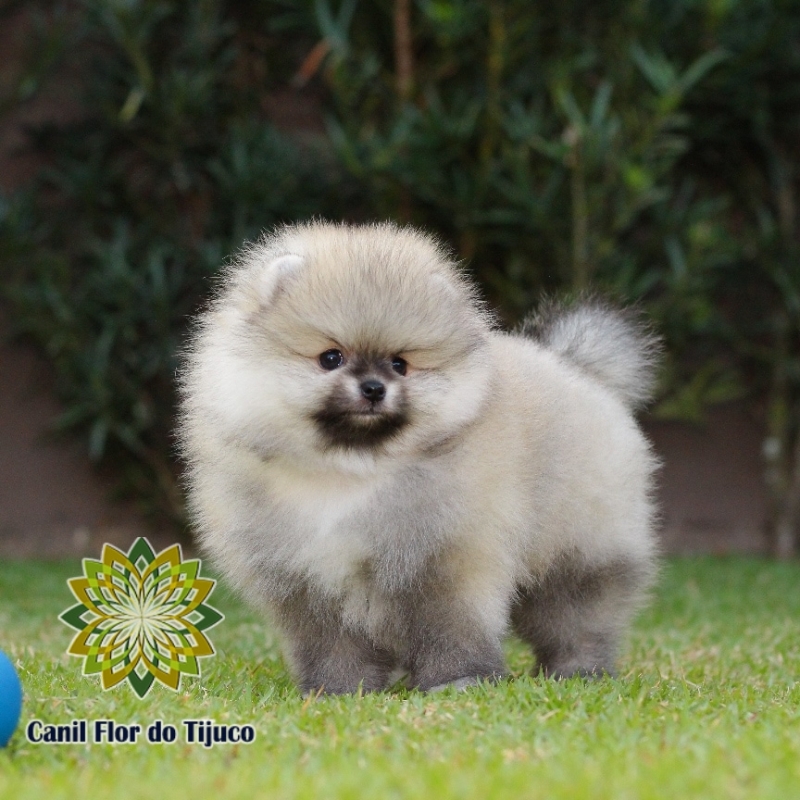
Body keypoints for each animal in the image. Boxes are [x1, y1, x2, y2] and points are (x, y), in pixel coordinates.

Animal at [181, 220, 664, 692]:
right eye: (330, 358)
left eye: (400, 364)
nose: (374, 388)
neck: (349, 472)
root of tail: (579, 370)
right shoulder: (309, 582)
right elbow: (334, 642)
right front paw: (340, 689)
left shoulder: (444, 563)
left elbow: (449, 628)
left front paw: (458, 681)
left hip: (578, 547)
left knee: (577, 613)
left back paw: (577, 671)